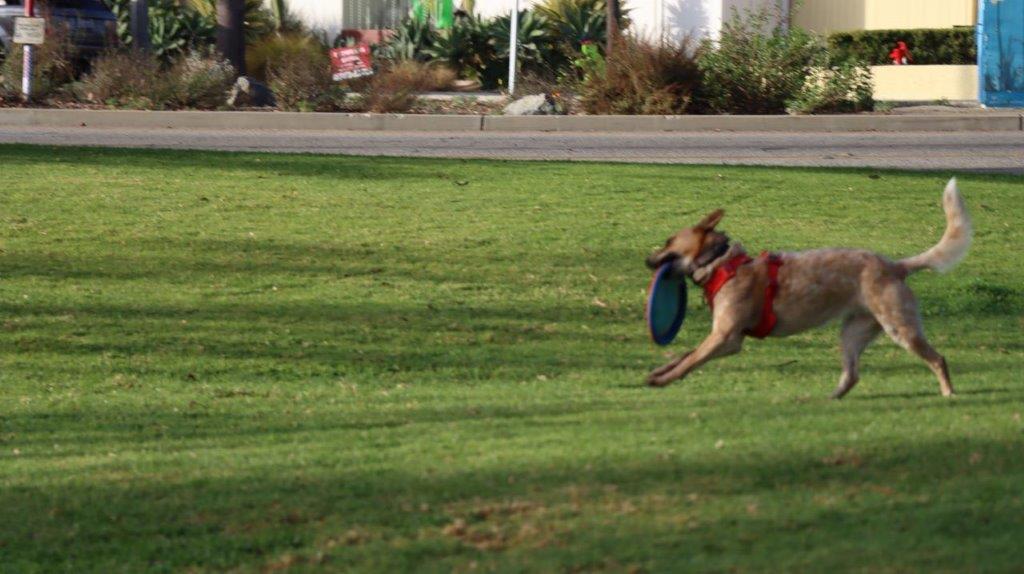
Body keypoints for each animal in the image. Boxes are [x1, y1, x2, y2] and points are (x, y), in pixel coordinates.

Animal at [643, 179, 970, 399]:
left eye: (669, 241)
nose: (647, 260)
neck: (721, 263)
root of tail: (896, 266)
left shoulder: (727, 337)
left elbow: (691, 359)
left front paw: (664, 379)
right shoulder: (724, 338)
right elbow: (686, 354)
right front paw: (659, 371)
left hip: (898, 326)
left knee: (938, 359)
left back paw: (949, 393)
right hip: (853, 332)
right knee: (852, 374)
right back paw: (831, 398)